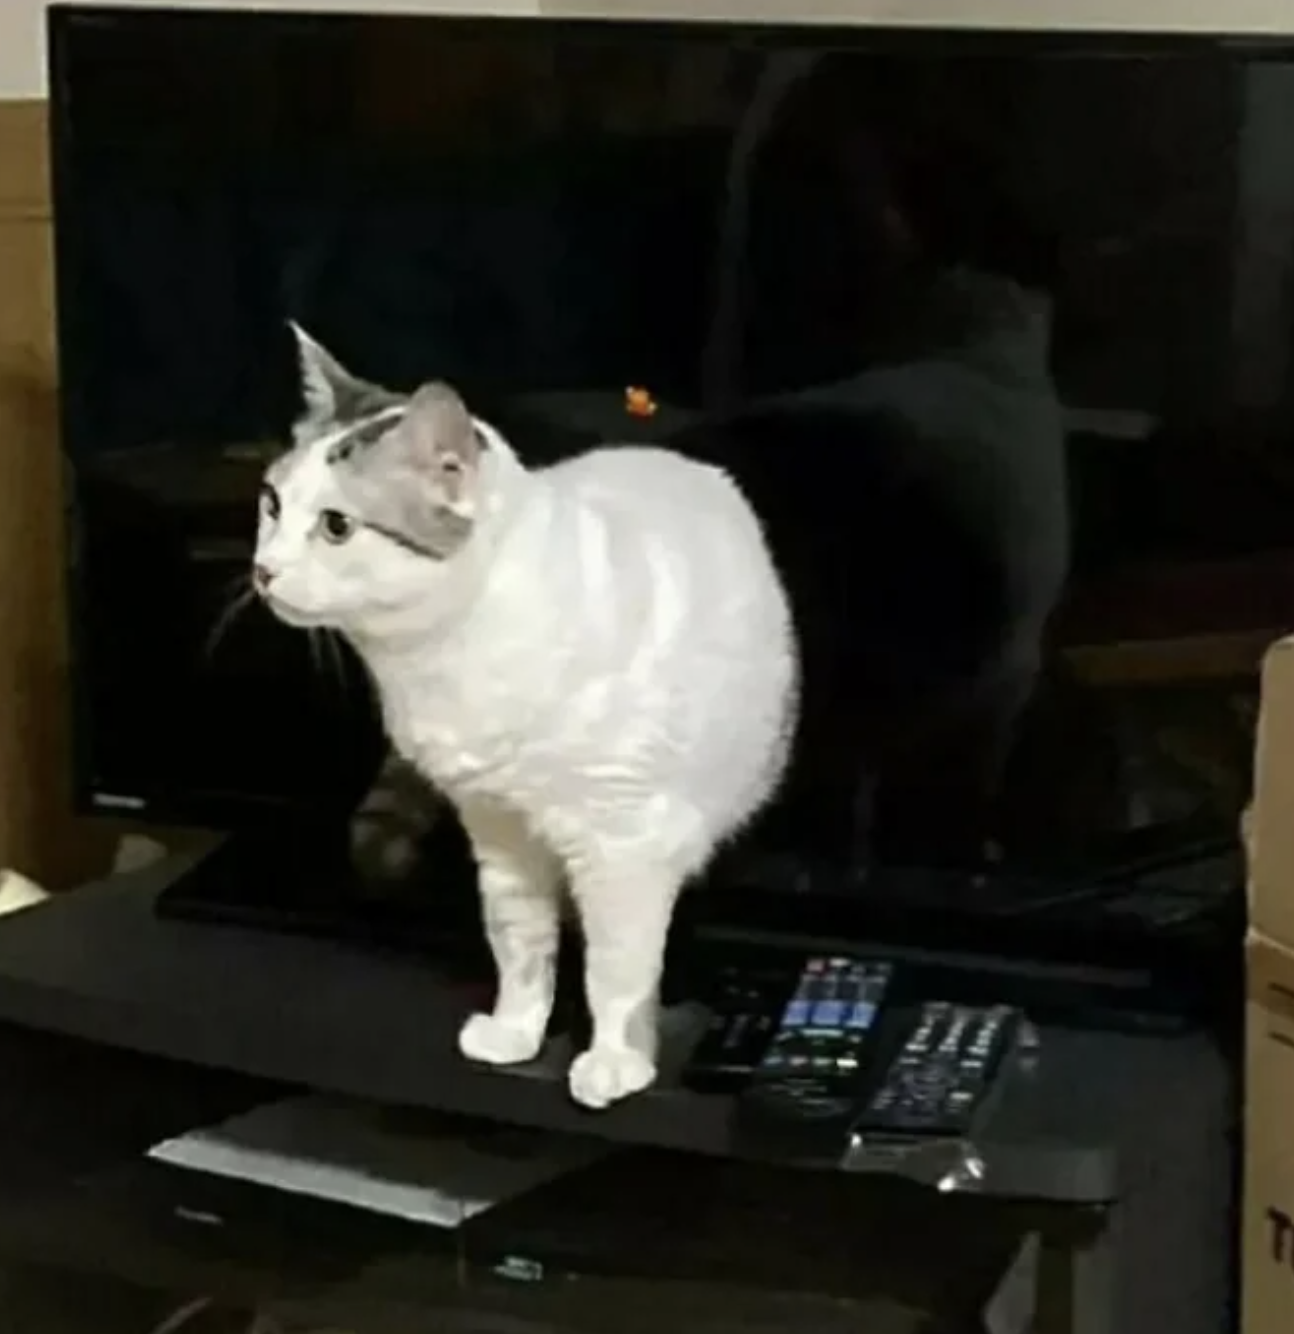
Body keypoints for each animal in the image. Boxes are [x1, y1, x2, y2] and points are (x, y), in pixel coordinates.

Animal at [252, 328, 795, 1109]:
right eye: (270, 503)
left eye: (336, 527)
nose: (263, 570)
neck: (449, 655)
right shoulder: (498, 830)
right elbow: (520, 944)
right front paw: (517, 1031)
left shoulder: (625, 845)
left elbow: (617, 969)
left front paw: (616, 1060)